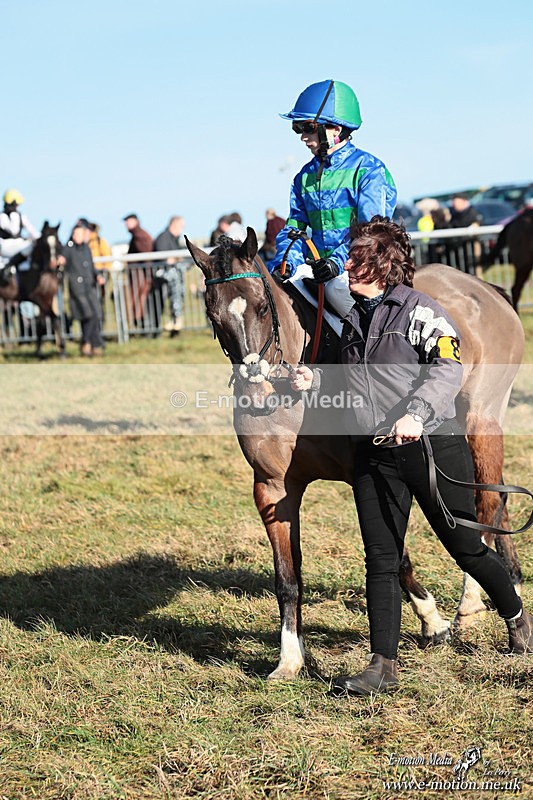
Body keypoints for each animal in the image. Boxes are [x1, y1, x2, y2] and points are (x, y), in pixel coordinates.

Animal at [0, 222, 65, 358]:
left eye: (57, 242)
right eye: (45, 244)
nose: (53, 265)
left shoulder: (47, 299)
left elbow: (41, 324)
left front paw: (39, 352)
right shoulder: (38, 299)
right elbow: (55, 319)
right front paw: (61, 349)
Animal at [185, 228, 525, 680]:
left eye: (260, 305)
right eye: (213, 315)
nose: (255, 390)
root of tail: (483, 288)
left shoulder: (371, 473)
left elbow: (398, 555)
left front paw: (433, 621)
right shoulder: (273, 489)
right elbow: (287, 578)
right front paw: (289, 659)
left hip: (481, 420)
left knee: (485, 505)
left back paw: (470, 605)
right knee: (496, 501)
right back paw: (513, 587)